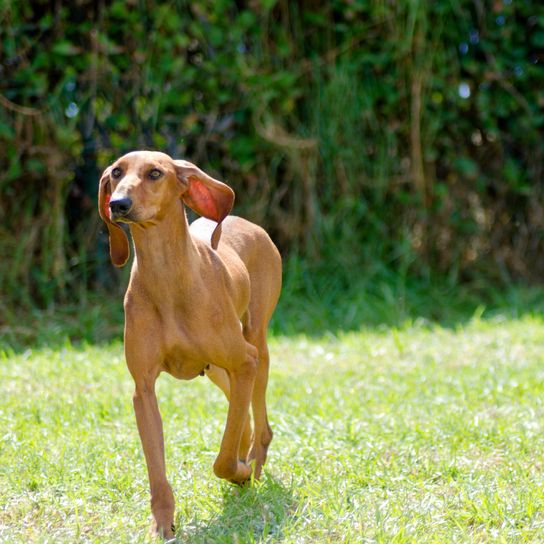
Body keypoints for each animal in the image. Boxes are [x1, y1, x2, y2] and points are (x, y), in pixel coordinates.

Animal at [98, 149, 282, 536]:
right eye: (116, 173)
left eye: (155, 173)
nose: (118, 204)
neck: (167, 277)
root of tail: (247, 222)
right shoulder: (143, 390)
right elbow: (157, 472)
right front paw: (162, 525)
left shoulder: (245, 360)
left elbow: (223, 460)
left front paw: (240, 473)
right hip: (215, 369)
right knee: (240, 410)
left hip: (256, 345)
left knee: (260, 423)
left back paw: (253, 465)